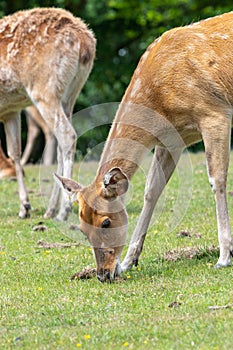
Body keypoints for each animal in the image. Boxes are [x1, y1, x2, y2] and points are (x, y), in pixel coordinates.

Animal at [0, 8, 95, 219]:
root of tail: (85, 41)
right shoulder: (10, 110)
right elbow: (14, 152)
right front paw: (24, 207)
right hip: (69, 94)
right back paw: (51, 209)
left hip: (44, 89)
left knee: (67, 135)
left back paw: (63, 210)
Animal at [56, 12, 233, 284]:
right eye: (83, 228)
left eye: (106, 222)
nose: (103, 274)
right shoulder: (172, 140)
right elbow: (151, 190)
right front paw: (130, 260)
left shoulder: (215, 114)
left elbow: (217, 179)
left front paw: (224, 256)